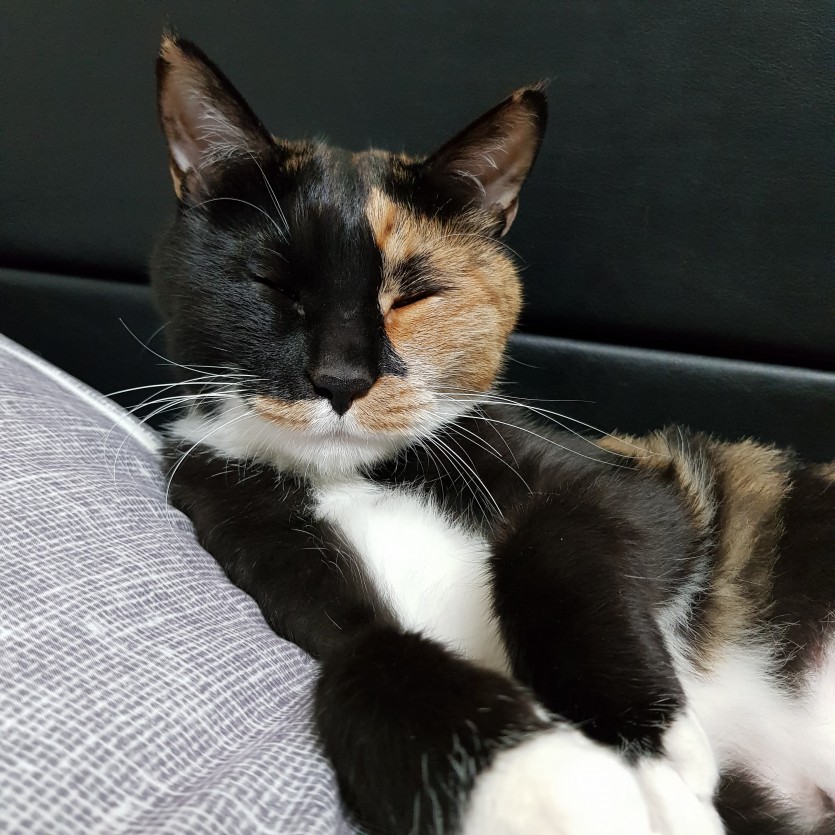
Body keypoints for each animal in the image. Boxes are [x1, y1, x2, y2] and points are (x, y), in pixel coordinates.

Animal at [151, 35, 835, 835]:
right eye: (271, 281)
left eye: (415, 292)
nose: (341, 378)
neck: (355, 474)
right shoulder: (249, 522)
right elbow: (367, 657)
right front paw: (559, 786)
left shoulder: (629, 479)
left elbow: (560, 534)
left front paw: (647, 747)